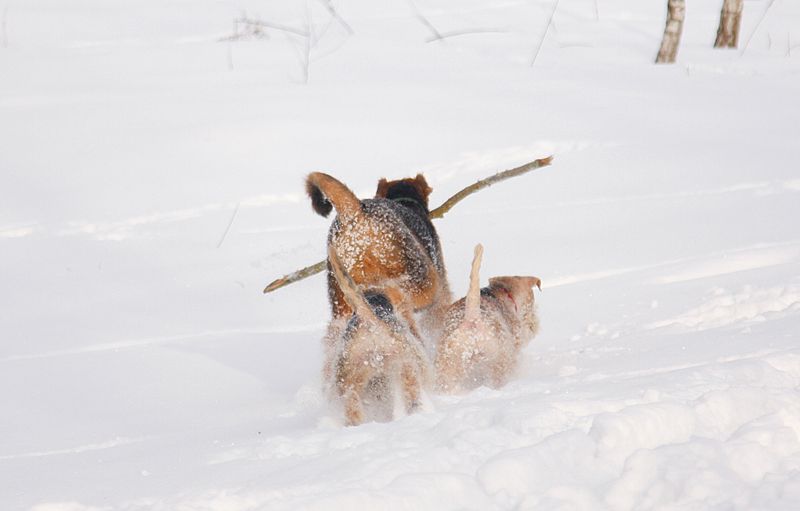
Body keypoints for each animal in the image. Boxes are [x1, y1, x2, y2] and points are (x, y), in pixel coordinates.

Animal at [308, 173, 450, 348]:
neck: (404, 201)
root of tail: (353, 212)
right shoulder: (440, 292)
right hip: (422, 276)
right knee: (396, 294)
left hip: (339, 298)